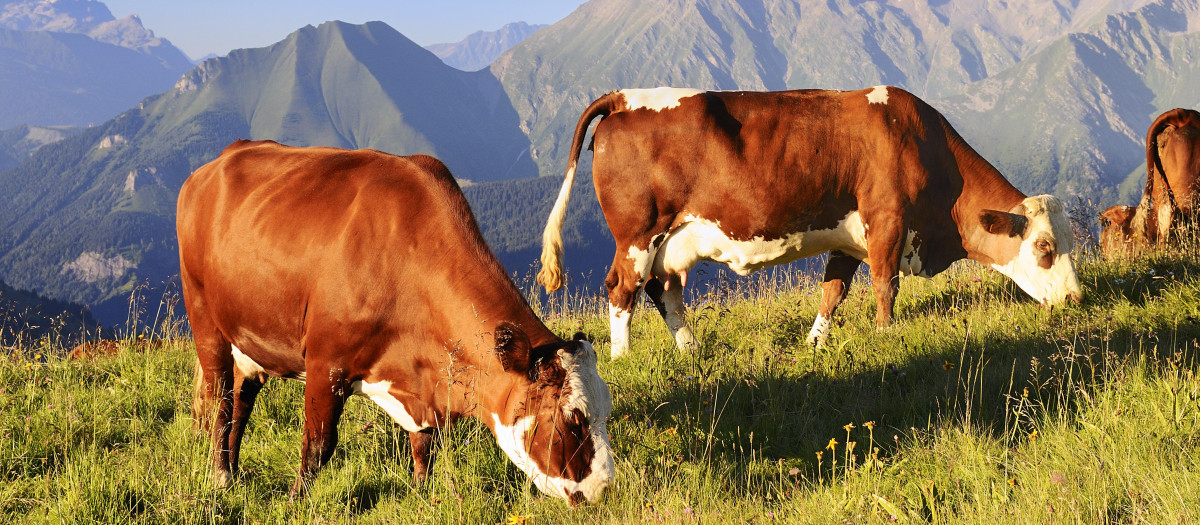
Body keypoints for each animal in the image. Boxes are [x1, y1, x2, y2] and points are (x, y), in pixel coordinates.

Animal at [177, 140, 614, 505]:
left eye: (605, 412)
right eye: (572, 419)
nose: (605, 489)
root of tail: (217, 161)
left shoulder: (424, 386)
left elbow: (424, 446)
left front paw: (420, 495)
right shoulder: (324, 362)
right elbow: (318, 445)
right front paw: (295, 501)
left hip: (248, 341)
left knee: (240, 401)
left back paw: (233, 473)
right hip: (204, 317)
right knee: (220, 400)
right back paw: (220, 478)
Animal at [537, 86, 1083, 358]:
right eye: (1043, 247)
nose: (1077, 298)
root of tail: (623, 97)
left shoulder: (850, 236)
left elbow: (833, 290)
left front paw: (816, 341)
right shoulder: (887, 221)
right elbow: (885, 285)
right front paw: (886, 335)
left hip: (670, 241)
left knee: (662, 289)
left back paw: (690, 350)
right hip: (637, 232)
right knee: (621, 288)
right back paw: (622, 357)